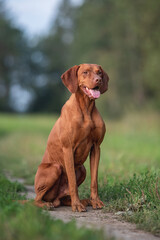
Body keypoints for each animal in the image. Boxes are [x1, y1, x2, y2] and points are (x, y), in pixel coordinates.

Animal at [33, 63, 109, 212]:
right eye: (85, 72)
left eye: (99, 73)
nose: (98, 80)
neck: (86, 108)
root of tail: (55, 199)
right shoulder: (68, 149)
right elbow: (72, 182)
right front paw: (77, 205)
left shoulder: (96, 148)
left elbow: (94, 181)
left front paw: (95, 201)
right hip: (55, 167)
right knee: (36, 199)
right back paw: (46, 204)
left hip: (82, 169)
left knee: (63, 199)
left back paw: (84, 201)